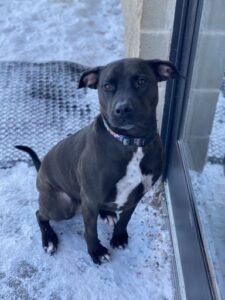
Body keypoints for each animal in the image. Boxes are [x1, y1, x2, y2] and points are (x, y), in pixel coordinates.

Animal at [16, 58, 179, 262]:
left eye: (141, 81)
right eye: (107, 85)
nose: (123, 109)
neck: (131, 143)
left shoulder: (137, 194)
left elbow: (125, 218)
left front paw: (118, 237)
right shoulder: (91, 197)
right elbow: (90, 230)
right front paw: (96, 251)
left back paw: (107, 213)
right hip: (63, 204)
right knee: (40, 214)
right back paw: (49, 239)